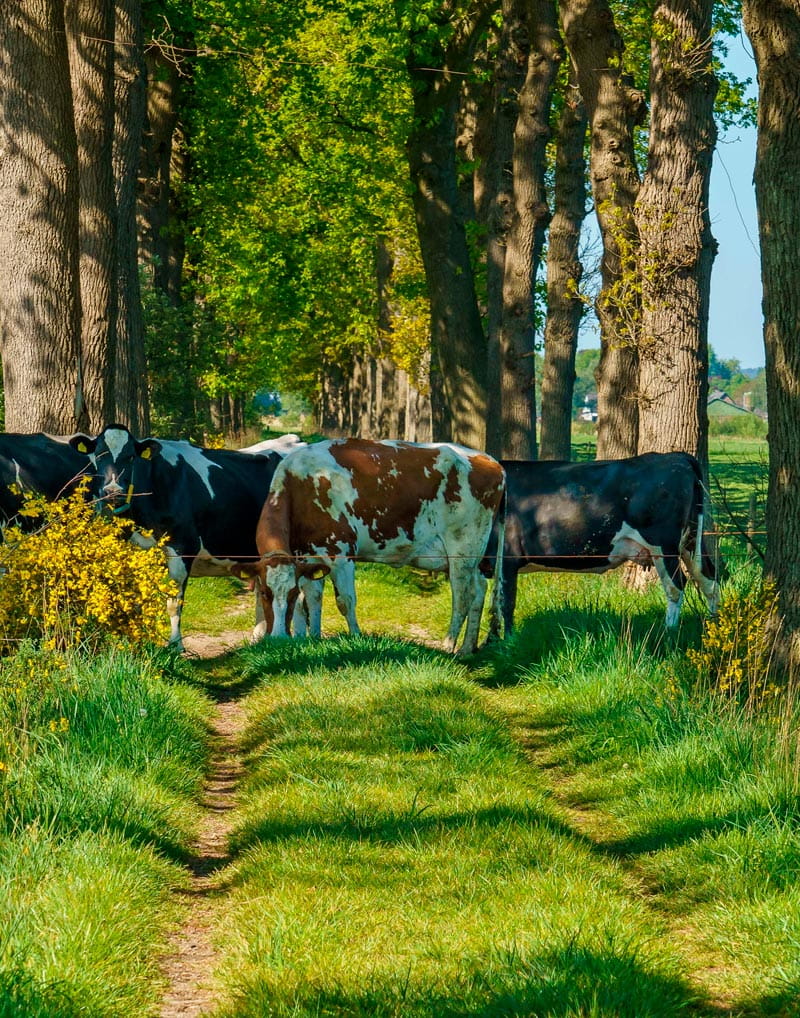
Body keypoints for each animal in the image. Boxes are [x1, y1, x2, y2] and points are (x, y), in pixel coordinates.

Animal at [69, 423, 317, 647]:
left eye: (131, 457)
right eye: (99, 455)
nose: (113, 492)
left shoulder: (181, 547)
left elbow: (173, 602)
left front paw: (175, 645)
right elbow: (135, 600)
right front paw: (136, 645)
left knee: (306, 592)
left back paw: (302, 637)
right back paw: (259, 638)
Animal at [246, 435, 504, 651]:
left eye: (288, 594)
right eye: (265, 593)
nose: (278, 638)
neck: (300, 486)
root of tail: (490, 460)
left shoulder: (341, 555)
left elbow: (345, 601)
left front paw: (356, 638)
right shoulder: (307, 557)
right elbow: (311, 599)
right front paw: (314, 640)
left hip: (462, 549)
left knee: (462, 596)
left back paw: (448, 646)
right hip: (470, 556)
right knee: (479, 588)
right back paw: (467, 649)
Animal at [482, 454, 720, 635]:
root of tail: (676, 456)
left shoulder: (508, 558)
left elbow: (505, 602)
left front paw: (508, 642)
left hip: (663, 545)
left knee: (676, 586)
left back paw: (669, 632)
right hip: (691, 542)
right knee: (709, 579)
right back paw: (713, 627)